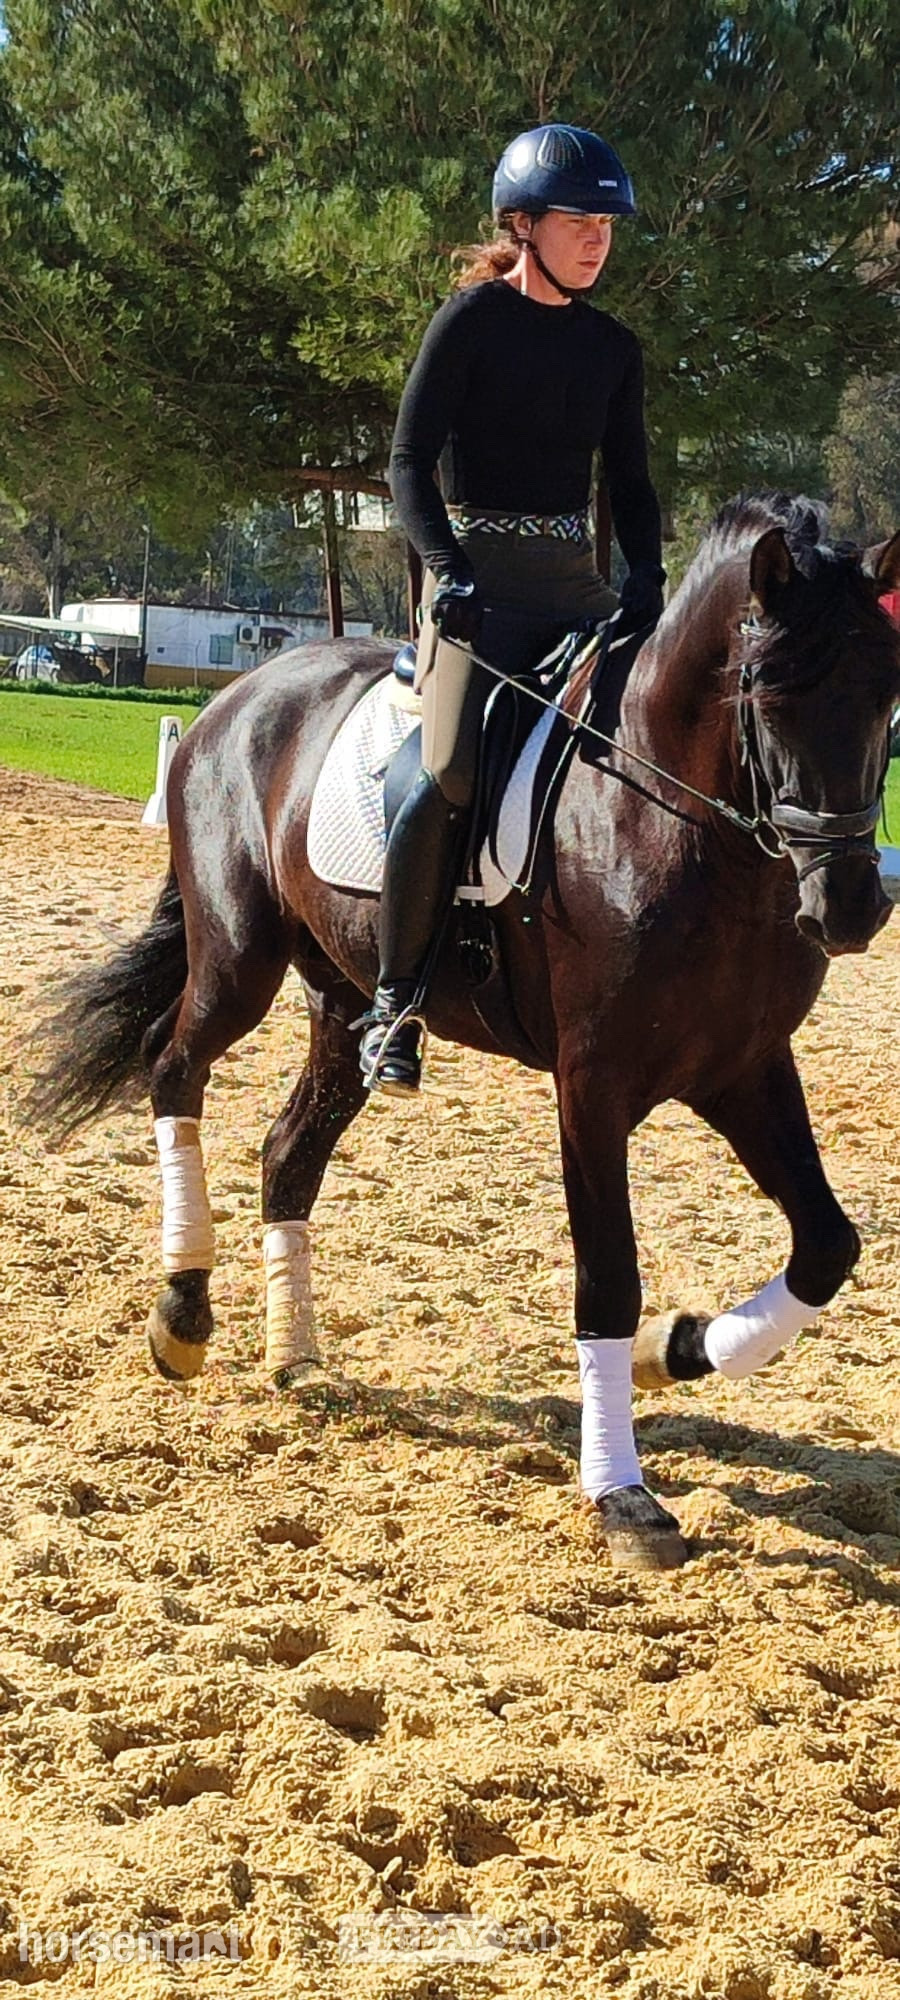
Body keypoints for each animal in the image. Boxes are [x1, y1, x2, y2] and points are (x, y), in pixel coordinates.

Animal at [28, 494, 900, 1573]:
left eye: (887, 698)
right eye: (770, 694)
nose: (853, 907)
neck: (681, 826)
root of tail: (242, 697)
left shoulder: (745, 1067)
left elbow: (828, 1244)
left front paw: (678, 1349)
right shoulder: (591, 1085)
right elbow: (608, 1276)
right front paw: (622, 1492)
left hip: (344, 1001)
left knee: (288, 1151)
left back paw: (296, 1352)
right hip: (237, 958)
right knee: (174, 1068)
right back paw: (184, 1313)